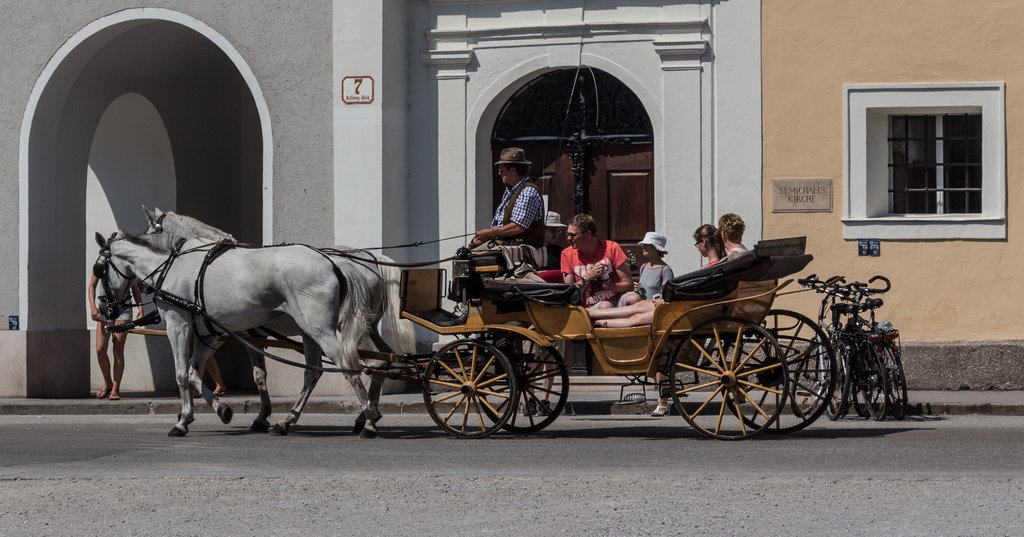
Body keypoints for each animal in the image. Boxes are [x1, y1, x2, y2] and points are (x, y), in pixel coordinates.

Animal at [141, 205, 415, 436]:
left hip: (340, 329)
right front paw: (257, 416)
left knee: (369, 364)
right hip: (362, 328)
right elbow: (254, 373)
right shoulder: (246, 334)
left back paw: (367, 419)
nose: (145, 284)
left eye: (149, 232)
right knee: (383, 361)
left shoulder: (231, 333)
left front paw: (189, 414)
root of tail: (364, 260)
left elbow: (236, 374)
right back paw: (362, 417)